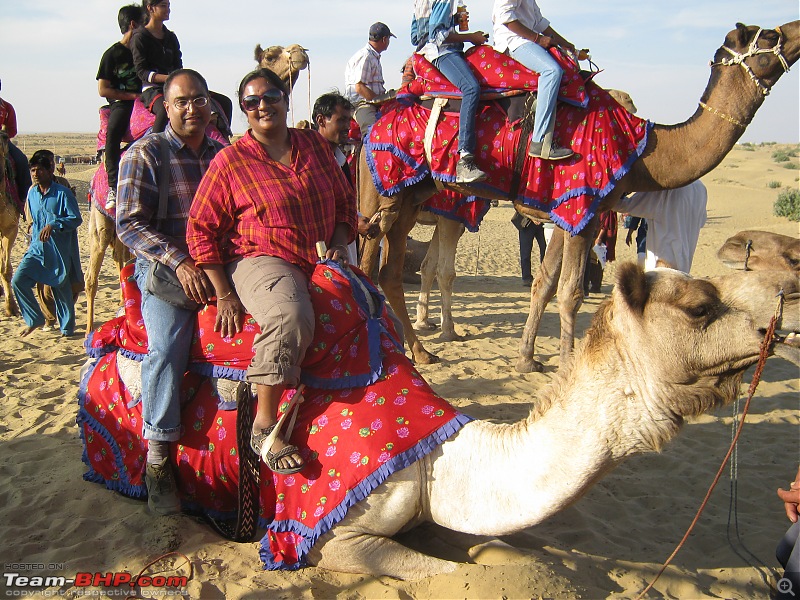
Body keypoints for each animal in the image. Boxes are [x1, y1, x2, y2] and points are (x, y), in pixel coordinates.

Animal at [358, 21, 800, 368]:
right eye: (770, 34)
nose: (795, 29)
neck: (642, 148)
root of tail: (371, 124)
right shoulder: (582, 208)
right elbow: (569, 291)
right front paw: (567, 364)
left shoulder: (567, 213)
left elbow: (545, 281)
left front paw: (527, 359)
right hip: (380, 194)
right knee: (367, 263)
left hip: (409, 198)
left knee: (390, 272)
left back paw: (421, 351)